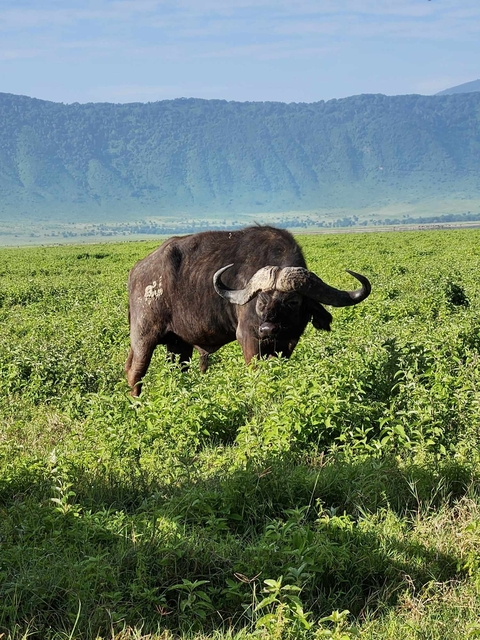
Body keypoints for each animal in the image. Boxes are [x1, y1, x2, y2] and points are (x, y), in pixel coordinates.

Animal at [125, 226, 371, 396]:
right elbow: (256, 371)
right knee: (135, 372)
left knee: (176, 370)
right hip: (144, 337)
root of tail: (137, 270)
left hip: (178, 344)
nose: (267, 329)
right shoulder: (248, 338)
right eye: (261, 300)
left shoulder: (287, 344)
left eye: (293, 301)